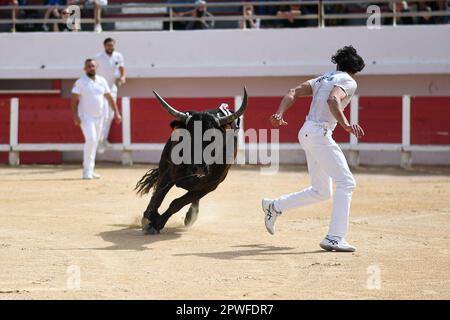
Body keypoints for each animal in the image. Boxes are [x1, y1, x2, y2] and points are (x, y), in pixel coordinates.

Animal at [135, 89, 248, 234]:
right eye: (190, 136)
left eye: (214, 138)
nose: (199, 168)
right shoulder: (168, 173)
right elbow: (158, 195)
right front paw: (148, 218)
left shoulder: (209, 186)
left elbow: (177, 203)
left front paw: (156, 224)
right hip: (163, 163)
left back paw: (191, 216)